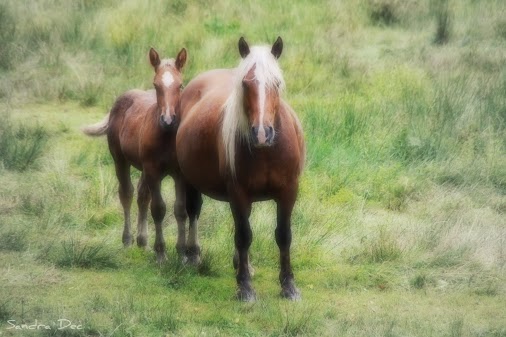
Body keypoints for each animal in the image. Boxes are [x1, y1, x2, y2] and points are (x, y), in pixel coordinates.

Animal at [82, 48, 200, 262]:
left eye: (180, 85)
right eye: (156, 85)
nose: (168, 120)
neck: (166, 136)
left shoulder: (178, 174)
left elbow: (180, 210)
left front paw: (181, 254)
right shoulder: (153, 171)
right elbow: (159, 208)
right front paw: (161, 253)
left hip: (144, 169)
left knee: (142, 195)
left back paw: (142, 242)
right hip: (120, 160)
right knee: (127, 194)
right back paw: (128, 239)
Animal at [178, 36, 304, 300]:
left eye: (276, 83)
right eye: (246, 84)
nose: (262, 133)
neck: (267, 152)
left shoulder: (288, 191)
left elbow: (283, 235)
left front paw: (288, 285)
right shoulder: (238, 192)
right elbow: (244, 235)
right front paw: (245, 287)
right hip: (188, 179)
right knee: (193, 211)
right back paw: (193, 255)